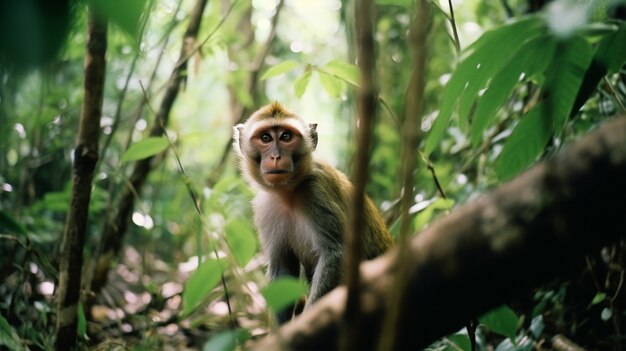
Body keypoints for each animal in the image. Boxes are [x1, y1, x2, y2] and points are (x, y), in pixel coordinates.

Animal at [234, 102, 390, 324]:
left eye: (286, 136)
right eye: (265, 138)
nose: (275, 156)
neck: (289, 193)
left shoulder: (317, 190)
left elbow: (337, 253)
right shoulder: (266, 207)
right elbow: (283, 267)